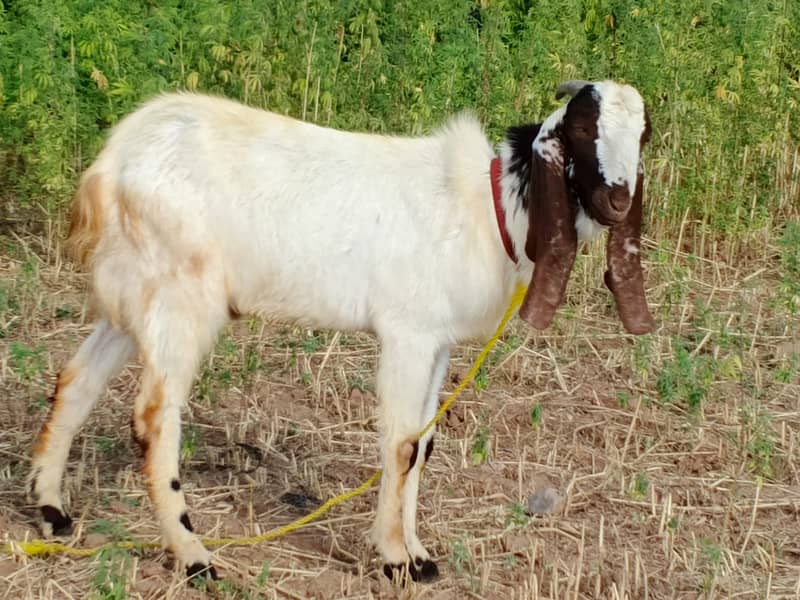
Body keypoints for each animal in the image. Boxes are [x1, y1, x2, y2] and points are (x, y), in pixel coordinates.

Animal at [29, 80, 654, 582]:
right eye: (582, 127)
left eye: (643, 135)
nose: (617, 199)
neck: (487, 204)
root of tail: (112, 162)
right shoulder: (407, 332)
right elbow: (401, 442)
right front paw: (396, 560)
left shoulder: (437, 341)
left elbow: (424, 442)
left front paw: (419, 554)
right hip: (181, 298)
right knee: (156, 415)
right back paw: (193, 556)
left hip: (133, 293)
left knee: (77, 379)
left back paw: (51, 508)